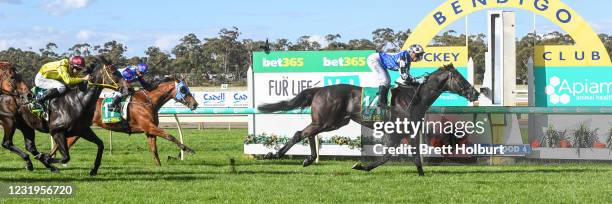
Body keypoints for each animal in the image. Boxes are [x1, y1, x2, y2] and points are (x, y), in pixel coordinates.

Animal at [50, 76, 200, 166]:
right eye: (183, 89)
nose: (195, 104)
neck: (148, 101)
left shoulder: (149, 130)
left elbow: (154, 149)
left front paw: (159, 166)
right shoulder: (149, 126)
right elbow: (170, 136)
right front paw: (188, 149)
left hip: (78, 130)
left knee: (62, 144)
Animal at [256, 64, 480, 177]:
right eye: (460, 78)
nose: (475, 93)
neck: (413, 98)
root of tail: (320, 89)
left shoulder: (406, 132)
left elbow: (408, 155)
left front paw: (421, 174)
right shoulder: (398, 132)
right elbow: (392, 156)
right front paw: (361, 166)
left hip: (333, 122)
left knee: (309, 133)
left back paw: (309, 159)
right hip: (327, 121)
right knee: (299, 134)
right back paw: (274, 154)